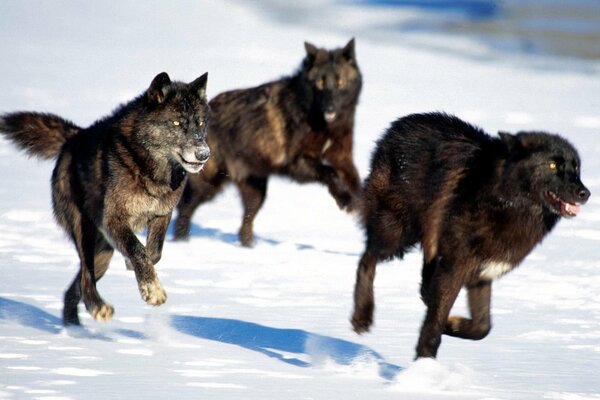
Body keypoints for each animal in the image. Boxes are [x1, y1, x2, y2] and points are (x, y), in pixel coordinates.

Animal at [0, 72, 211, 324]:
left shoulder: (162, 214)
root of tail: (74, 137)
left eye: (201, 123)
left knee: (74, 288)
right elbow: (138, 249)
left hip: (103, 253)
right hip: (85, 232)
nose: (204, 154)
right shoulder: (113, 220)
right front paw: (152, 291)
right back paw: (97, 308)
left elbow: (153, 252)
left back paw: (73, 328)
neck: (149, 168)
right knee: (85, 277)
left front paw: (136, 269)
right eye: (177, 123)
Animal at [173, 40, 360, 247]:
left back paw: (249, 248)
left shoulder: (343, 158)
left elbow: (355, 180)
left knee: (245, 224)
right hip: (209, 185)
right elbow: (330, 172)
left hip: (256, 191)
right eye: (320, 82)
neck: (321, 122)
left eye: (340, 82)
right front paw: (345, 201)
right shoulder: (297, 164)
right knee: (185, 208)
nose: (330, 109)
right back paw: (181, 242)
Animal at [352, 112, 592, 360]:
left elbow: (481, 327)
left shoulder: (482, 274)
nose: (585, 193)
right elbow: (435, 325)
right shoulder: (454, 268)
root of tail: (397, 125)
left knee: (422, 282)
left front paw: (452, 324)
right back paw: (362, 317)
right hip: (396, 234)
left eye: (576, 169)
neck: (504, 201)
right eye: (552, 165)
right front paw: (424, 363)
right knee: (367, 259)